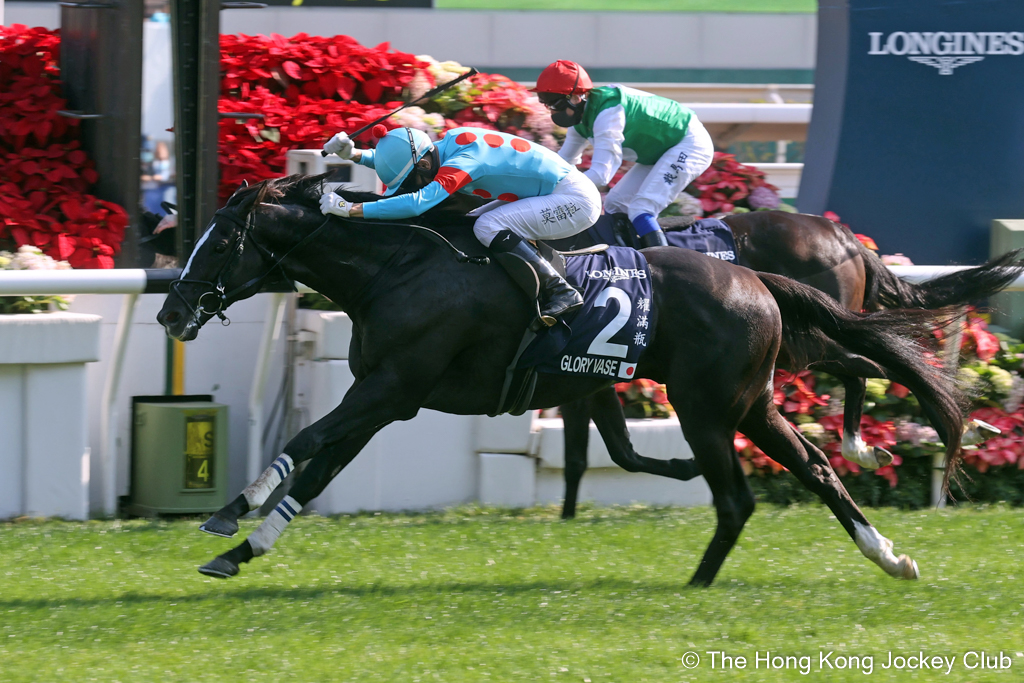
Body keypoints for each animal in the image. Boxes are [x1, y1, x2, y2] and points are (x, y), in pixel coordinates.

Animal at [157, 176, 966, 589]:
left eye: (220, 244)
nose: (169, 310)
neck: (396, 269)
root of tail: (757, 279)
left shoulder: (389, 389)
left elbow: (306, 441)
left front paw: (230, 511)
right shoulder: (388, 398)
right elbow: (319, 469)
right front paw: (241, 549)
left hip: (709, 407)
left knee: (741, 493)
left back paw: (699, 583)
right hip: (754, 402)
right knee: (817, 468)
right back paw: (888, 555)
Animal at [548, 209, 1019, 518]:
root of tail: (848, 241)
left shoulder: (586, 365)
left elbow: (595, 452)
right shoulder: (588, 371)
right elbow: (598, 451)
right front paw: (568, 516)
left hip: (804, 338)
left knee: (874, 366)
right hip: (803, 341)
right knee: (869, 367)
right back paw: (870, 445)